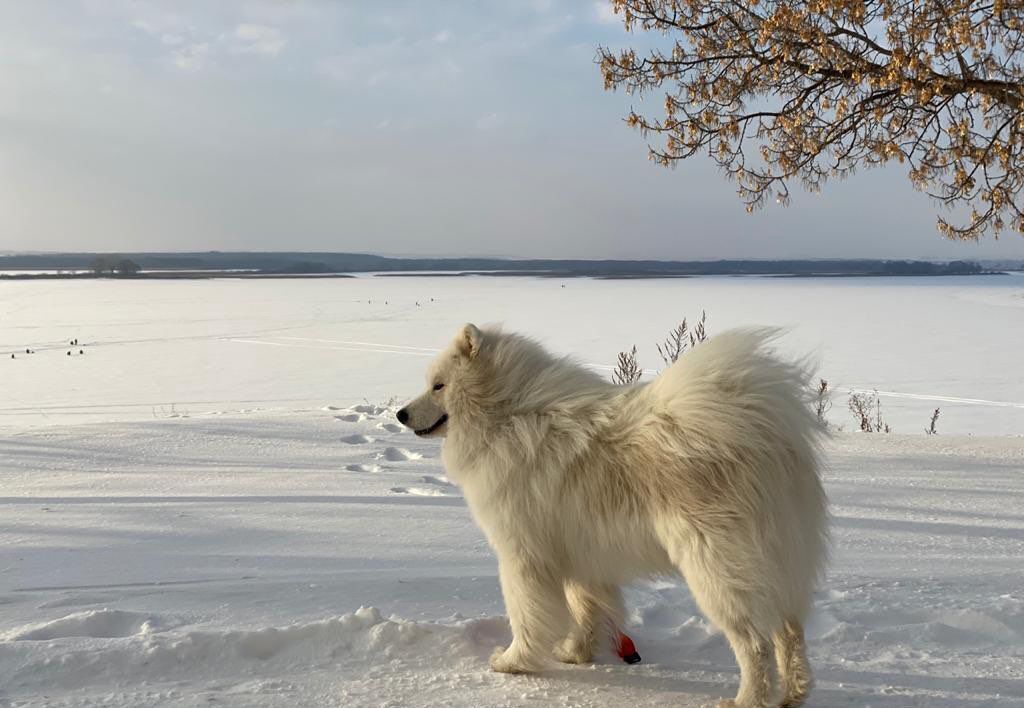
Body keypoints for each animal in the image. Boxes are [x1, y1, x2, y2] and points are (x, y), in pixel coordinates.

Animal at [395, 325, 827, 708]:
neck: (507, 415)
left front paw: (513, 662)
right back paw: (794, 694)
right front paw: (576, 653)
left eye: (438, 386)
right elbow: (585, 609)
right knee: (791, 631)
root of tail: (767, 440)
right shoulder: (580, 554)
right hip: (781, 563)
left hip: (717, 569)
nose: (400, 414)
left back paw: (746, 701)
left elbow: (528, 614)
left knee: (755, 643)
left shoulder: (523, 555)